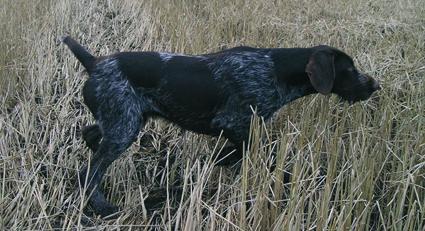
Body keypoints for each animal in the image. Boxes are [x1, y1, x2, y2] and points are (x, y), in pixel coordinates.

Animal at [61, 36, 380, 217]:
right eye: (349, 69)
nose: (375, 85)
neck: (276, 71)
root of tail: (95, 63)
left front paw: (218, 162)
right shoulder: (234, 123)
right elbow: (257, 152)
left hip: (125, 121)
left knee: (90, 134)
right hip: (123, 128)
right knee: (89, 173)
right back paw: (103, 208)